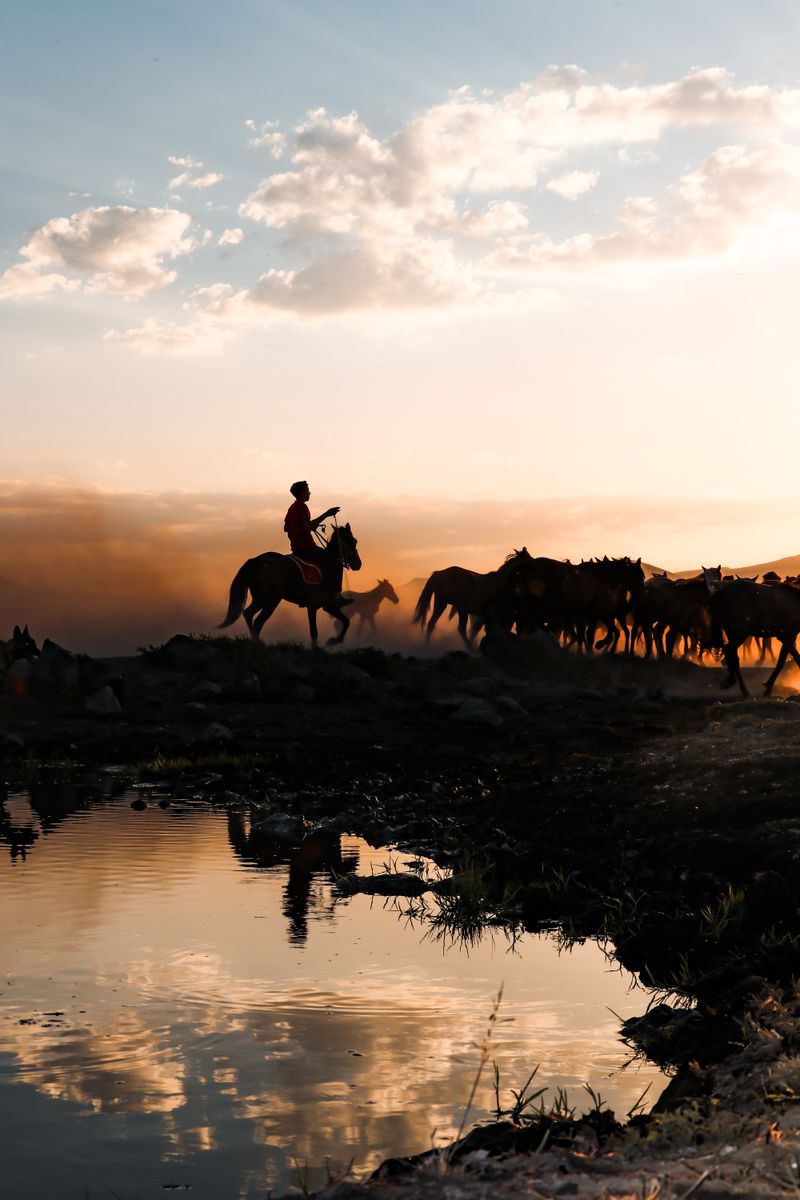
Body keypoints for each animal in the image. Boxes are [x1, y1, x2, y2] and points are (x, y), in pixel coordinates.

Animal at [215, 525, 359, 648]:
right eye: (354, 541)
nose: (358, 563)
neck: (329, 564)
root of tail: (255, 561)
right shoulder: (324, 605)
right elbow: (339, 623)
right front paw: (332, 641)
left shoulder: (319, 606)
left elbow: (328, 626)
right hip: (271, 600)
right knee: (258, 621)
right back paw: (257, 642)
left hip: (260, 598)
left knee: (248, 613)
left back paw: (254, 640)